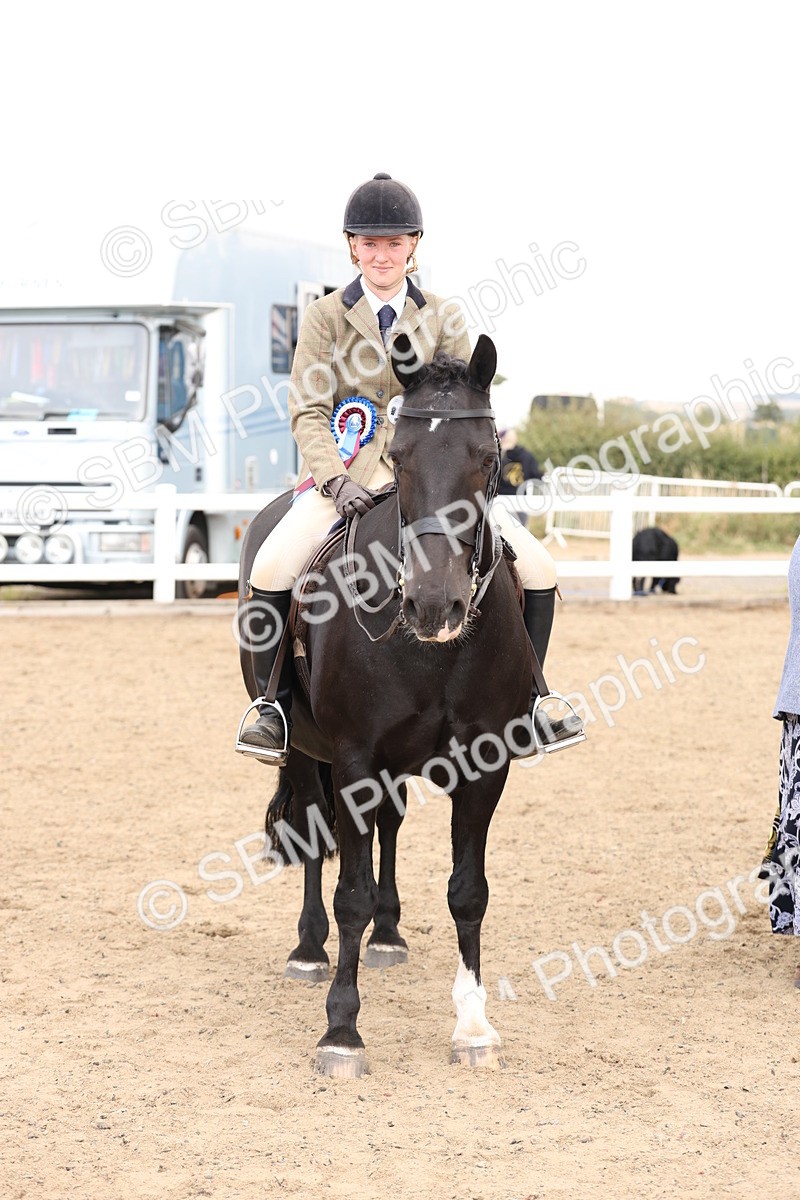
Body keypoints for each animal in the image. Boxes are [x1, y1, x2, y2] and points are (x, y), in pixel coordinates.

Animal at [238, 333, 533, 1077]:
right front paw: (341, 1030)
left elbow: (468, 890)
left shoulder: (485, 766)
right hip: (306, 748)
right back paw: (309, 949)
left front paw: (473, 1027)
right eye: (398, 457)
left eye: (488, 457)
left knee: (390, 830)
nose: (434, 605)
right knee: (318, 838)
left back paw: (389, 935)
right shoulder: (353, 760)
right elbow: (351, 891)